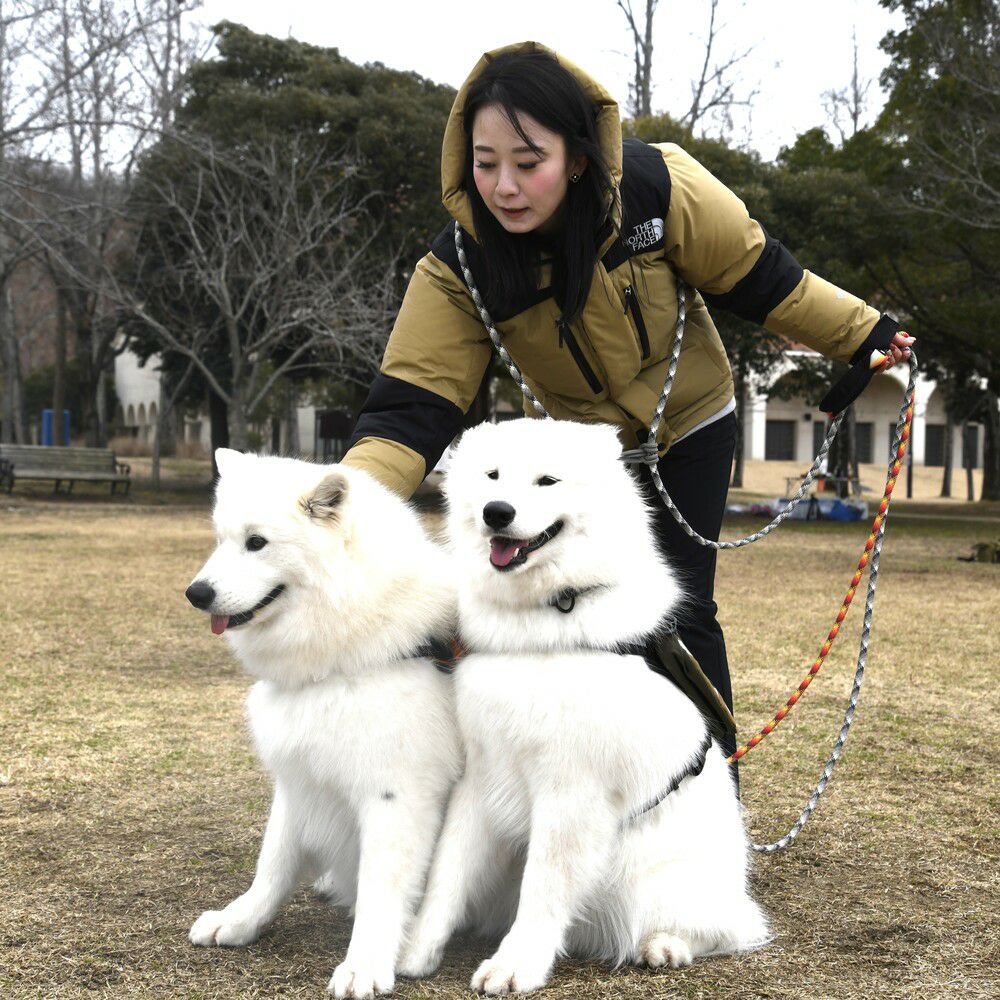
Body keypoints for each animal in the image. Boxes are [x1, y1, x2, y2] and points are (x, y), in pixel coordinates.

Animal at [184, 449, 461, 999]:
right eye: (221, 539)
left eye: (257, 543)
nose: (195, 593)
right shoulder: (298, 779)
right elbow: (272, 864)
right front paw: (240, 921)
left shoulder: (396, 797)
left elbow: (380, 889)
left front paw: (365, 965)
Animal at [398, 419, 769, 995]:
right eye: (493, 476)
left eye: (547, 481)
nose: (496, 512)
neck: (550, 617)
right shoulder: (480, 777)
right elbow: (446, 875)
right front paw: (414, 951)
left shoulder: (570, 793)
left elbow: (543, 888)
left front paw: (515, 966)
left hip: (656, 879)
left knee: (725, 928)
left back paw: (666, 945)